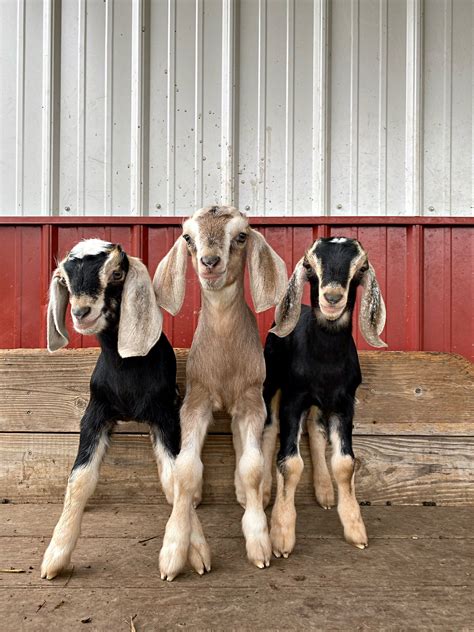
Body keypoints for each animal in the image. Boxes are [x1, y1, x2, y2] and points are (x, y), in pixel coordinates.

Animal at [41, 239, 181, 580]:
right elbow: (79, 479)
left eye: (116, 273)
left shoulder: (165, 415)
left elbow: (175, 476)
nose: (81, 312)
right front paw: (56, 554)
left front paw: (180, 551)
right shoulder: (94, 414)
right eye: (64, 280)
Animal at [262, 236, 386, 556]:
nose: (331, 297)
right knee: (269, 429)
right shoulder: (293, 399)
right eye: (309, 266)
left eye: (361, 268)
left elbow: (345, 464)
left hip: (320, 403)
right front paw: (281, 535)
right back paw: (265, 491)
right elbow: (290, 463)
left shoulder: (344, 404)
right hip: (272, 384)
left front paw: (355, 528)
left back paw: (325, 491)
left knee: (315, 430)